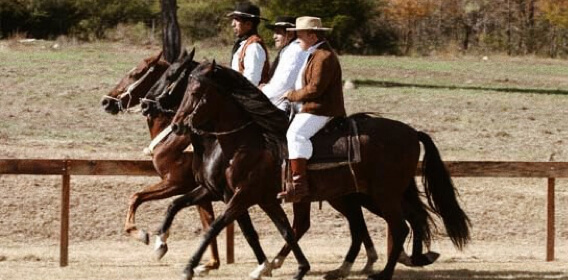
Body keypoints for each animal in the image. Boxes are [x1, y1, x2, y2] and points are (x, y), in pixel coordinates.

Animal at [101, 49, 221, 274]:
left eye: (135, 73)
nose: (106, 101)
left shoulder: (175, 183)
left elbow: (136, 197)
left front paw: (142, 234)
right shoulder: (200, 192)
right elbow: (208, 222)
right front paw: (211, 263)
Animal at [171, 61, 472, 280]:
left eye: (194, 92)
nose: (176, 125)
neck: (250, 142)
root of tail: (411, 131)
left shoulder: (242, 195)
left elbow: (217, 227)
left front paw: (188, 266)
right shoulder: (261, 198)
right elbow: (285, 230)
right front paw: (295, 267)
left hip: (382, 195)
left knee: (398, 227)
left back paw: (384, 272)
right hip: (371, 195)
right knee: (406, 220)